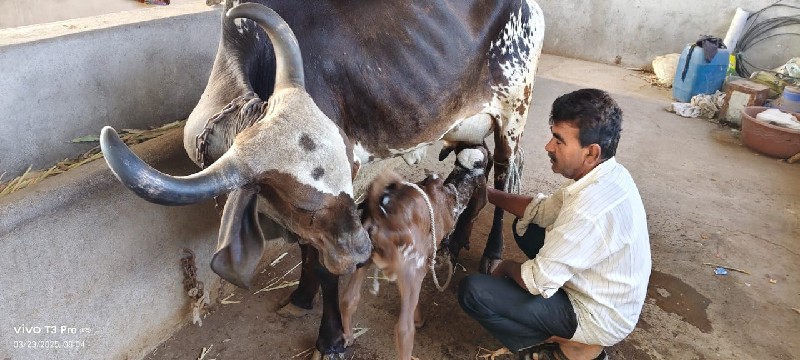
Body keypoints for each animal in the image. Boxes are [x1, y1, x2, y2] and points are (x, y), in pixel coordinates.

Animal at [97, 1, 540, 358]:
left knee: (505, 177)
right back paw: (457, 239)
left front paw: (331, 340)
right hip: (467, 125)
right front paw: (300, 297)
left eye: (347, 174)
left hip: (514, 114)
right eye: (302, 203)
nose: (361, 250)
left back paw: (491, 252)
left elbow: (326, 268)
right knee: (478, 174)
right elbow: (307, 252)